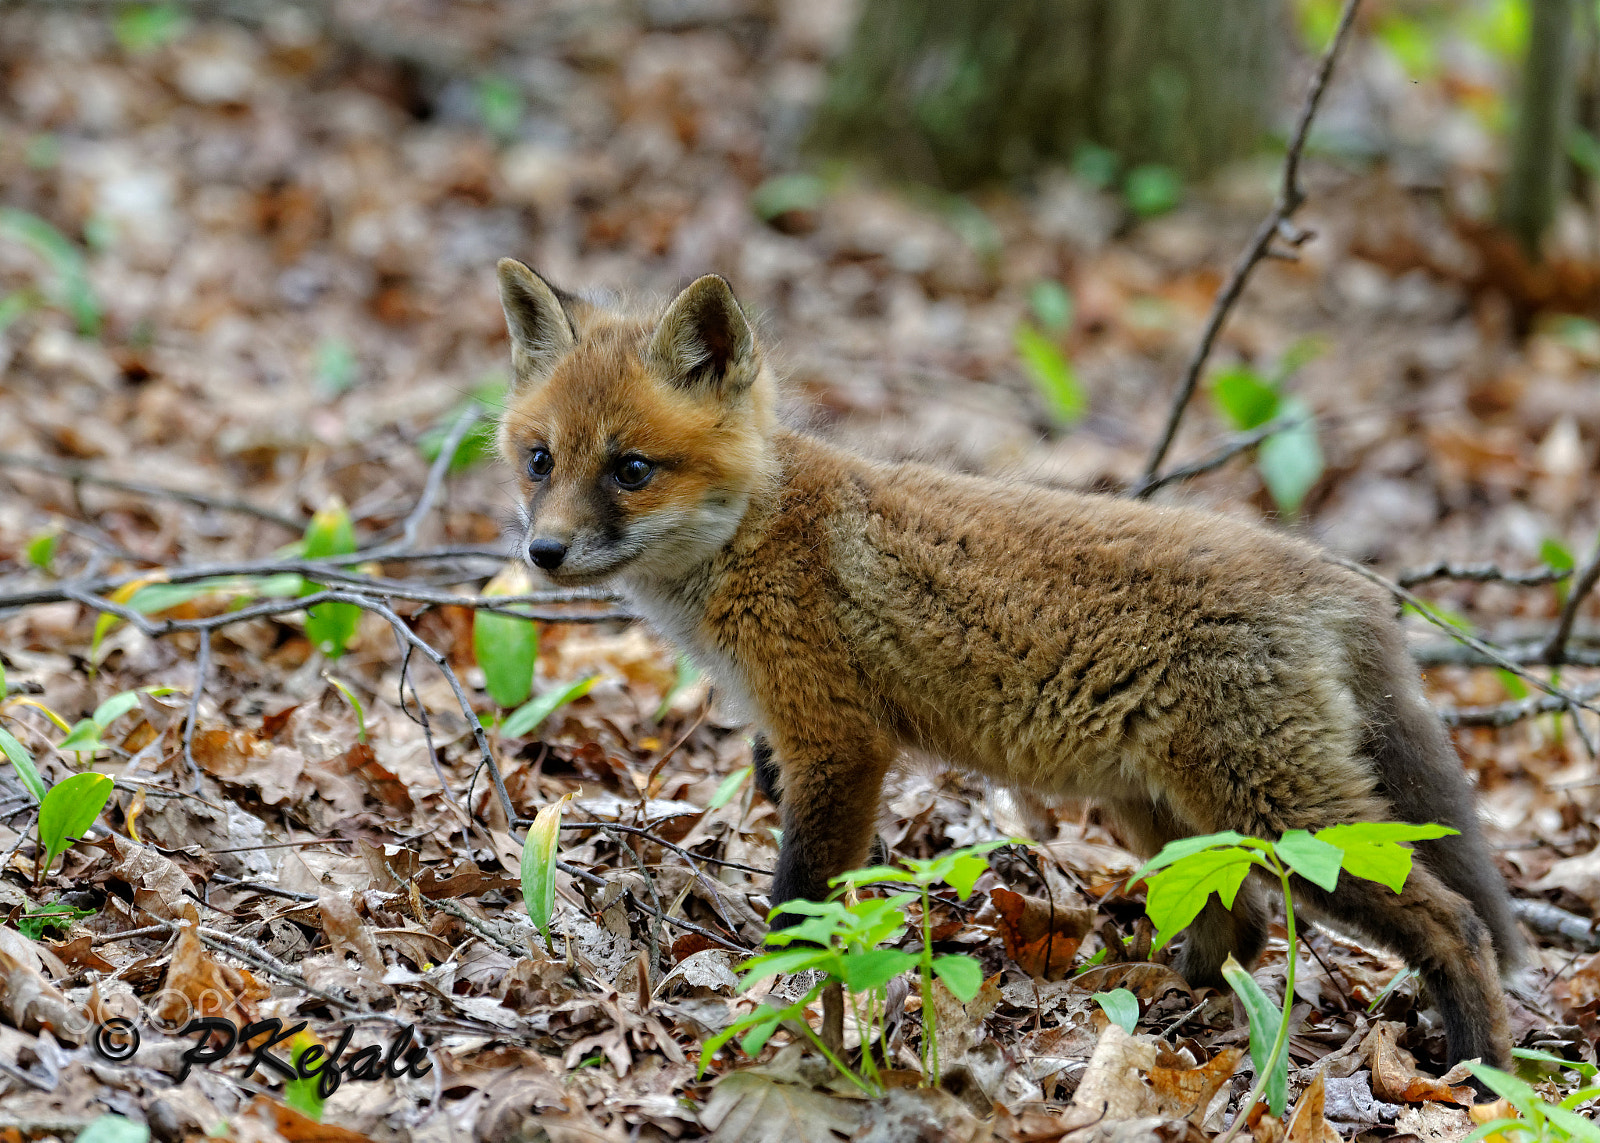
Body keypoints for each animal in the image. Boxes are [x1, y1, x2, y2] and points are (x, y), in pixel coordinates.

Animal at [491, 258, 1525, 1071]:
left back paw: (1478, 1071)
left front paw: (779, 1000)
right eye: (540, 460)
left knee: (1453, 921)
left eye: (630, 469)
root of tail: (1336, 573)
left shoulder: (841, 744)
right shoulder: (793, 739)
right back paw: (1162, 999)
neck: (762, 532)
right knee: (1245, 925)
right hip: (1169, 811)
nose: (543, 553)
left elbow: (801, 908)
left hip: (1282, 812)